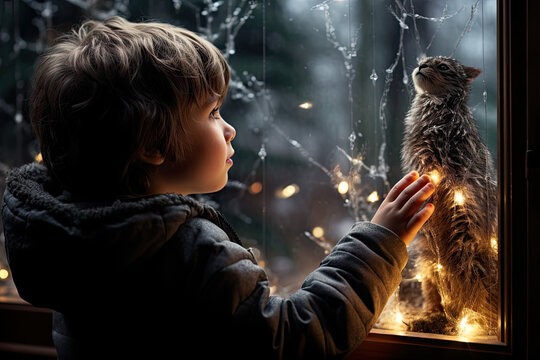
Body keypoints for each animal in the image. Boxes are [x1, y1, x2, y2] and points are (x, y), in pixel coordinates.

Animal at [400, 55, 498, 334]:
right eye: (424, 61)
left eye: (442, 67)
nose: (421, 66)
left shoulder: (439, 166)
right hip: (429, 263)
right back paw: (430, 318)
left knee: (463, 306)